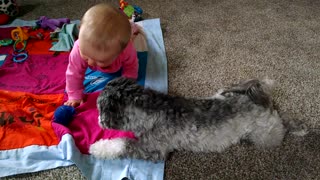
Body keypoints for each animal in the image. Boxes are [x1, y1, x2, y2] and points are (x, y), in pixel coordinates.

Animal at [90, 77, 304, 160]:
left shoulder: (152, 149)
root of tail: (264, 101)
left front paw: (97, 147)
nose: (99, 120)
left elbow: (121, 144)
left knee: (283, 126)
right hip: (222, 92)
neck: (152, 110)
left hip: (265, 137)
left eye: (100, 109)